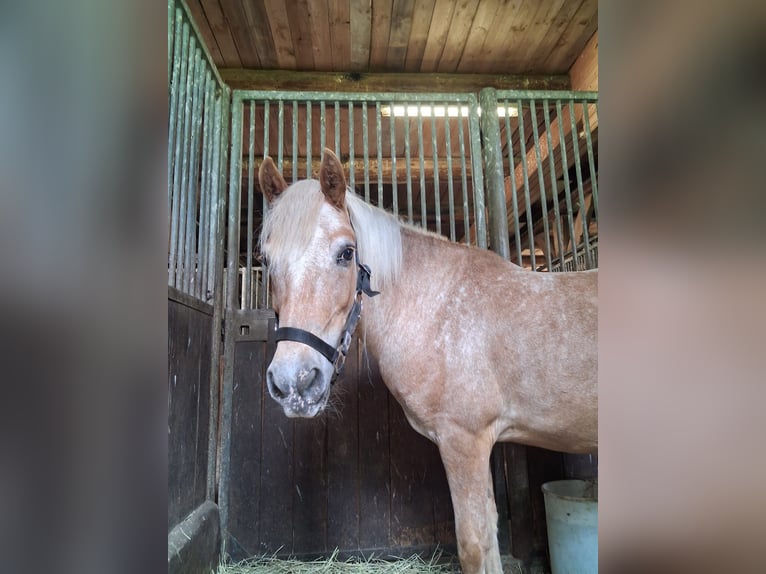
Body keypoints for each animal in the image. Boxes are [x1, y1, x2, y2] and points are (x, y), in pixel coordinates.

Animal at [257, 149, 597, 574]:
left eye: (346, 253)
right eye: (265, 260)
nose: (294, 382)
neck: (438, 308)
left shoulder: (464, 441)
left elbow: (474, 544)